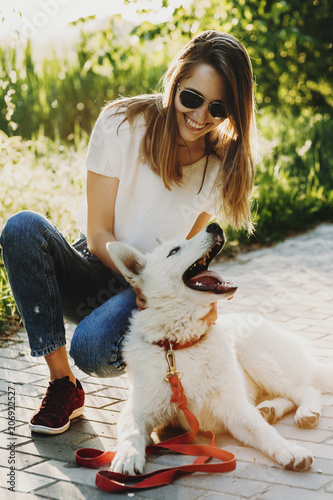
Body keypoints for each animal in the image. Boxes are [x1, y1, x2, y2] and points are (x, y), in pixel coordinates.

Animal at [107, 225, 332, 474]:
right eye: (174, 251)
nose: (214, 226)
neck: (181, 344)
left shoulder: (235, 411)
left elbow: (265, 432)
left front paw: (289, 451)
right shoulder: (137, 410)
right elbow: (131, 431)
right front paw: (128, 455)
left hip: (255, 356)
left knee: (307, 390)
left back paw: (305, 411)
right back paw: (270, 409)